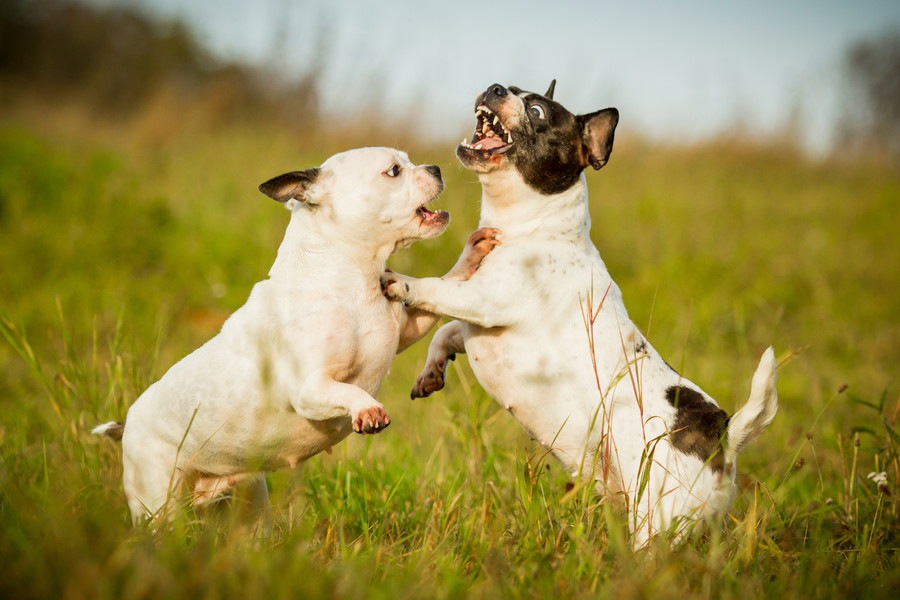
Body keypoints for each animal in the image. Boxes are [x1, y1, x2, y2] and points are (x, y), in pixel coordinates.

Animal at [93, 146, 500, 528]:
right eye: (394, 171)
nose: (435, 167)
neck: (350, 276)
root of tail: (128, 423)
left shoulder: (406, 328)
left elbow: (439, 288)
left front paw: (471, 254)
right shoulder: (310, 389)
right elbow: (346, 390)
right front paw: (367, 409)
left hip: (247, 506)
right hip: (158, 502)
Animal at [384, 82, 776, 548]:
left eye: (537, 110)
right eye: (511, 89)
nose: (496, 88)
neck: (535, 226)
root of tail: (726, 440)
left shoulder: (484, 300)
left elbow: (434, 291)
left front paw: (401, 282)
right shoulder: (475, 319)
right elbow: (444, 332)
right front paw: (432, 371)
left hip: (656, 518)